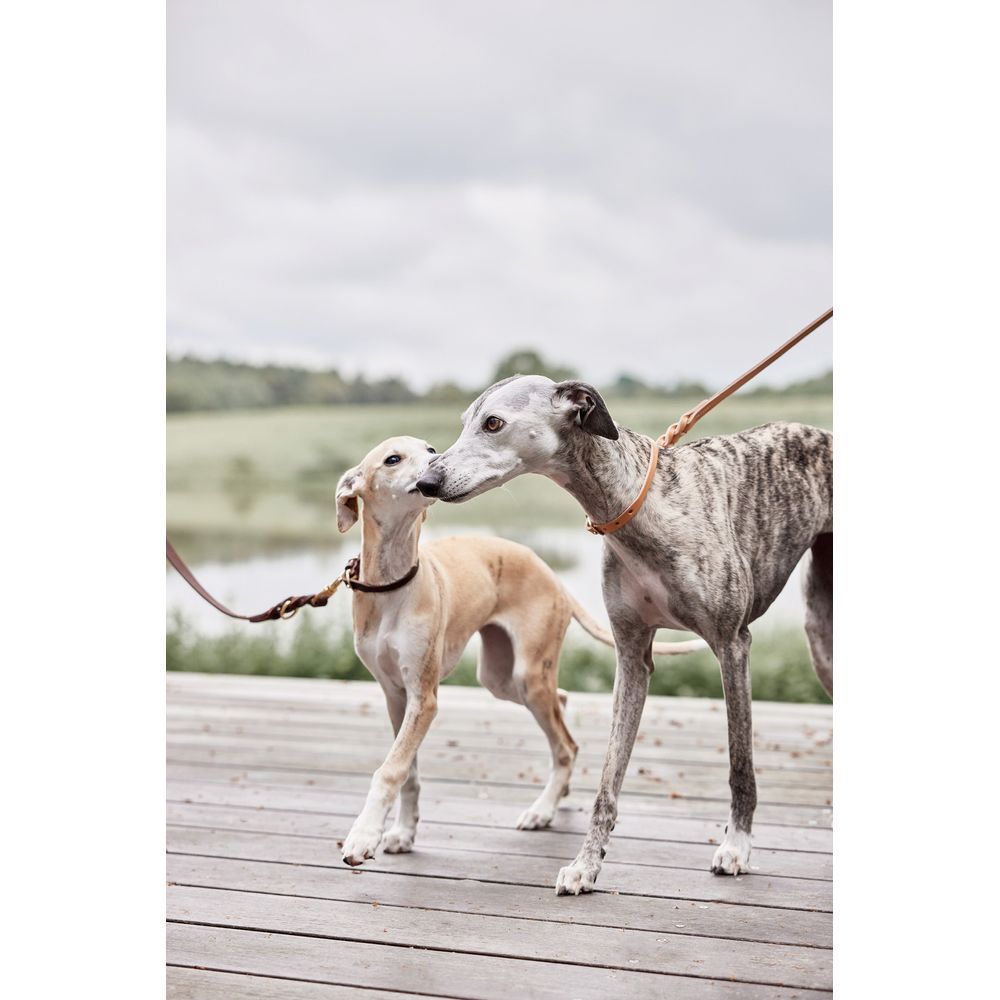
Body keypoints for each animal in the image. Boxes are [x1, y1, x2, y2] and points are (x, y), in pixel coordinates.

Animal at [336, 436, 704, 868]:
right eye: (393, 459)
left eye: (429, 449)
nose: (438, 464)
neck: (393, 584)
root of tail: (554, 578)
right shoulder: (395, 695)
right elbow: (407, 770)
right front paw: (402, 833)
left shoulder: (423, 699)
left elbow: (389, 770)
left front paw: (362, 837)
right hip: (501, 678)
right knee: (561, 701)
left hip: (526, 675)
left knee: (565, 744)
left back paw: (543, 810)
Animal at [418, 378, 832, 896]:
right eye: (463, 423)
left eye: (493, 423)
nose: (426, 482)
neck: (638, 504)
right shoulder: (632, 655)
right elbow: (608, 779)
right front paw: (585, 865)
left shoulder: (733, 645)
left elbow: (741, 765)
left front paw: (736, 846)